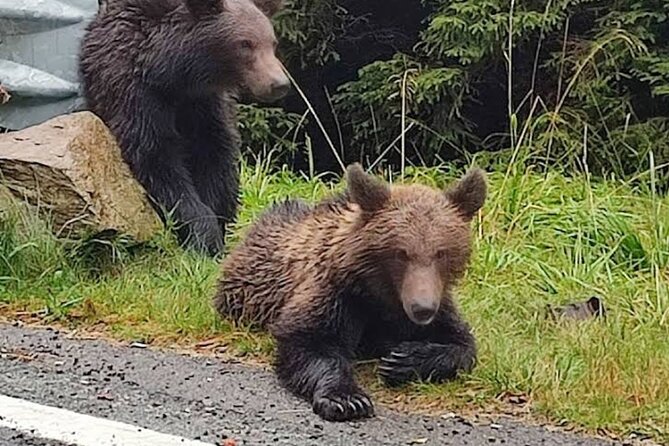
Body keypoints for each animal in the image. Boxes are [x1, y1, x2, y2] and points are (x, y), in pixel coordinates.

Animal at [78, 0, 290, 256]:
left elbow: (214, 156)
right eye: (245, 44)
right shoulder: (135, 94)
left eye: (272, 42)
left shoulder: (207, 104)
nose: (279, 83)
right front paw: (205, 236)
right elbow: (156, 159)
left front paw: (215, 229)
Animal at [213, 163, 487, 421]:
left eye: (441, 252)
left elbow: (462, 344)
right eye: (401, 253)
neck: (382, 295)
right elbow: (311, 341)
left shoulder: (435, 303)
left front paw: (403, 359)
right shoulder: (338, 294)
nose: (422, 308)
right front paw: (346, 399)